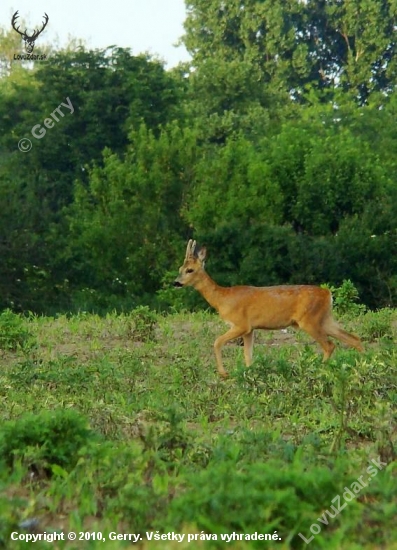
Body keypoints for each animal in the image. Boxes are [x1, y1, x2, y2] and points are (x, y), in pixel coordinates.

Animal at [173, 240, 362, 380]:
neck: (222, 299)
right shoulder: (250, 329)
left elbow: (217, 342)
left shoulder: (241, 324)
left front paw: (224, 373)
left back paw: (319, 369)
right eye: (180, 269)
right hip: (325, 319)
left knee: (330, 345)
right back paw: (363, 363)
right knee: (354, 338)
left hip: (310, 320)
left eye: (190, 270)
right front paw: (250, 374)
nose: (176, 283)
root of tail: (328, 294)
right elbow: (248, 355)